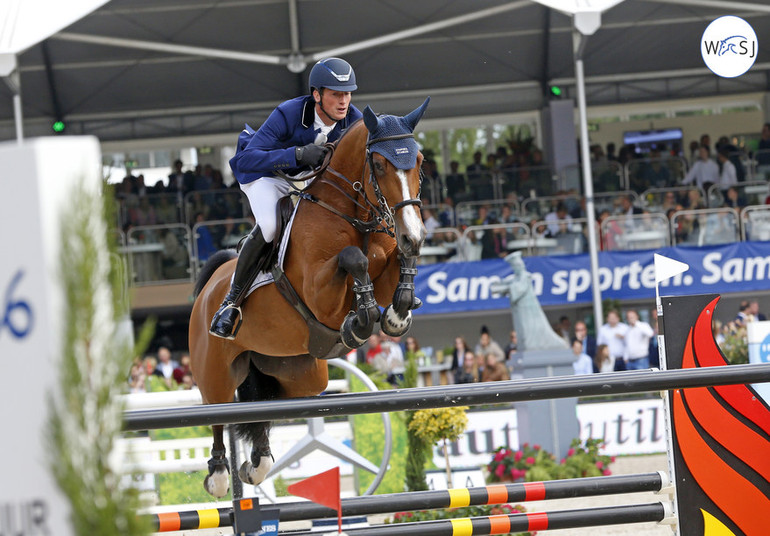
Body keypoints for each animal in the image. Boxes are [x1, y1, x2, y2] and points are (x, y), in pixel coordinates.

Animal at [186, 97, 426, 498]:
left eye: (419, 161)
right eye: (378, 164)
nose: (414, 235)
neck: (353, 215)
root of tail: (208, 289)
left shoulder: (386, 265)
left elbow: (396, 270)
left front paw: (395, 316)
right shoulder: (319, 292)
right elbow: (353, 259)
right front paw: (358, 323)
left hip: (300, 374)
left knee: (263, 405)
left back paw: (257, 463)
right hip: (213, 369)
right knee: (216, 411)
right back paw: (219, 474)